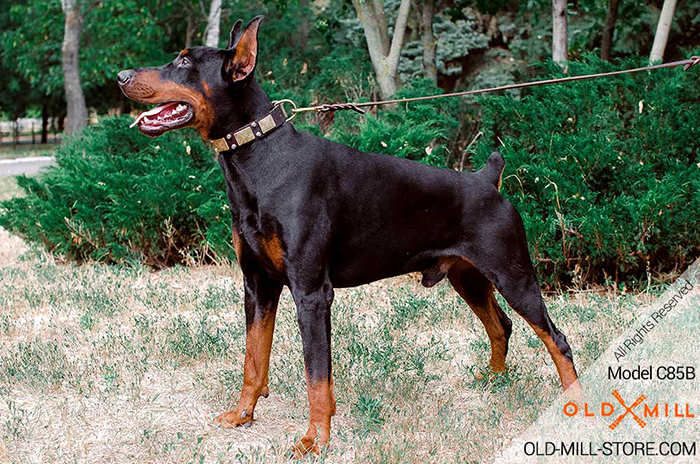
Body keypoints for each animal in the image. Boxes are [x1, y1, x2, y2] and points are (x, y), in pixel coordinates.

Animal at [119, 17, 580, 456]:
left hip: (513, 274)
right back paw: (493, 382)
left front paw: (315, 440)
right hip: (467, 277)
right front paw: (242, 415)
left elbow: (316, 377)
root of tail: (488, 179)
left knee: (556, 338)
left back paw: (573, 403)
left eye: (183, 61)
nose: (121, 76)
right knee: (501, 325)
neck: (259, 159)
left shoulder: (311, 292)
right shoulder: (258, 284)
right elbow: (253, 358)